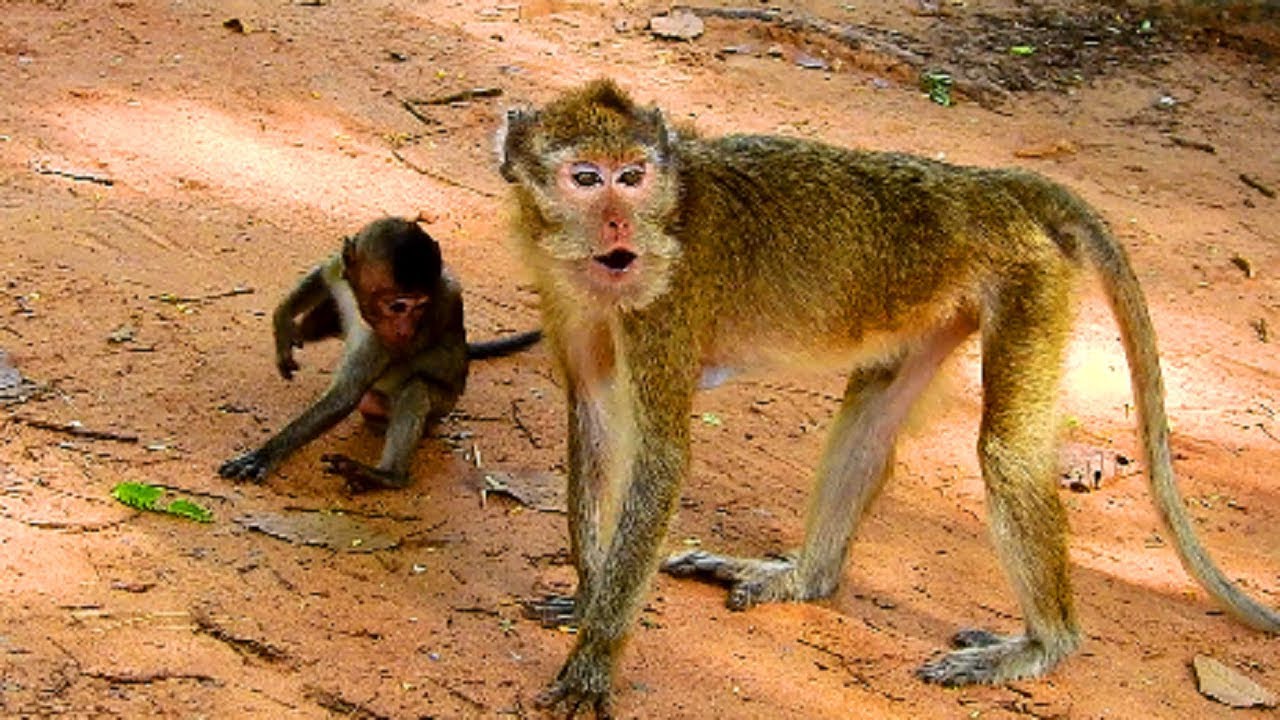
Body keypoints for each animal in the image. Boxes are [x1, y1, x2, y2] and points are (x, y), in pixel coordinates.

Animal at [218, 216, 540, 492]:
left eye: (421, 305)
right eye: (398, 306)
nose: (406, 330)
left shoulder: (382, 341)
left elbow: (345, 396)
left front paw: (266, 453)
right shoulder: (342, 272)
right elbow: (323, 272)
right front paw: (283, 323)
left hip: (440, 405)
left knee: (416, 389)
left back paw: (386, 476)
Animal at [496, 79, 1280, 715]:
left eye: (632, 177)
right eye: (586, 178)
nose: (619, 225)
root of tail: (989, 187)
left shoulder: (665, 305)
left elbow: (659, 458)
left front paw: (594, 663)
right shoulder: (569, 297)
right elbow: (594, 419)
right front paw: (589, 595)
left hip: (1029, 280)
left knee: (1006, 453)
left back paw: (1043, 644)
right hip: (939, 306)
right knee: (870, 420)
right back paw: (805, 579)